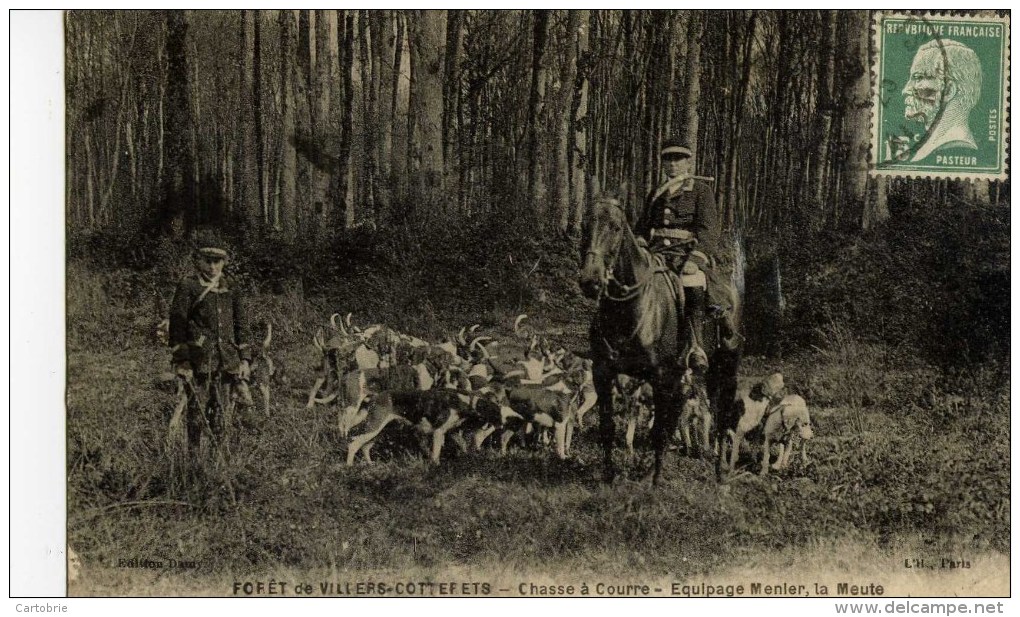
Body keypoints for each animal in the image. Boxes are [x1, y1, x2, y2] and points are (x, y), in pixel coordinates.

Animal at [579, 194, 697, 483]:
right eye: (584, 225)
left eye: (616, 228)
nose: (590, 281)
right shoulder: (602, 372)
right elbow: (608, 426)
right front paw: (609, 475)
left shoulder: (660, 376)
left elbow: (658, 430)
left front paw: (655, 479)